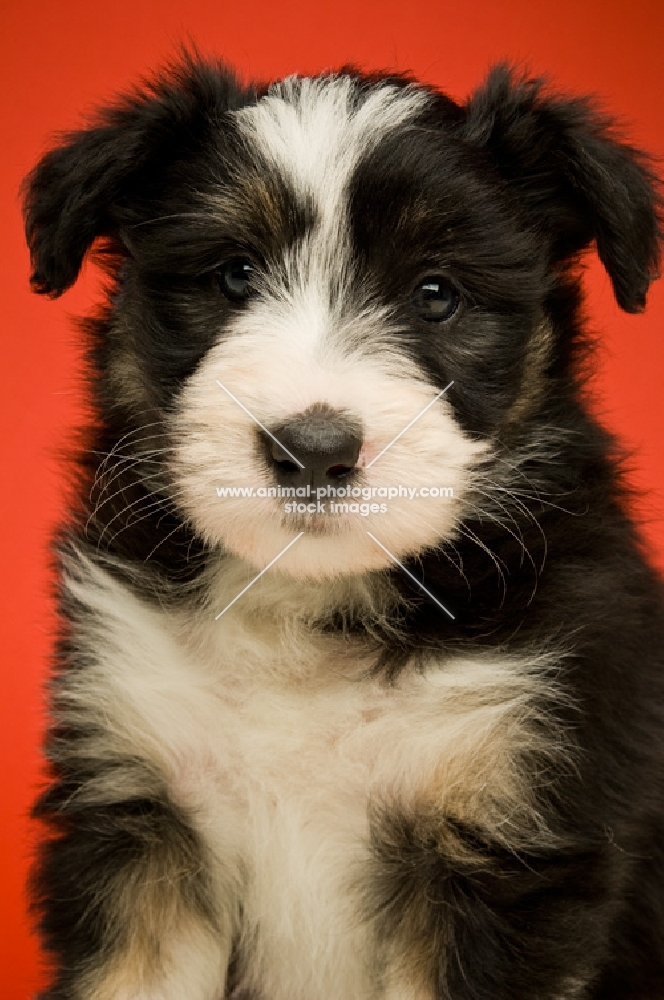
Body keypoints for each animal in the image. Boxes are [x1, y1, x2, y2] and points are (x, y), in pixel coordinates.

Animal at [23, 56, 664, 1000]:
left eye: (436, 294)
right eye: (234, 276)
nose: (314, 451)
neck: (308, 608)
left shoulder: (504, 837)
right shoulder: (144, 810)